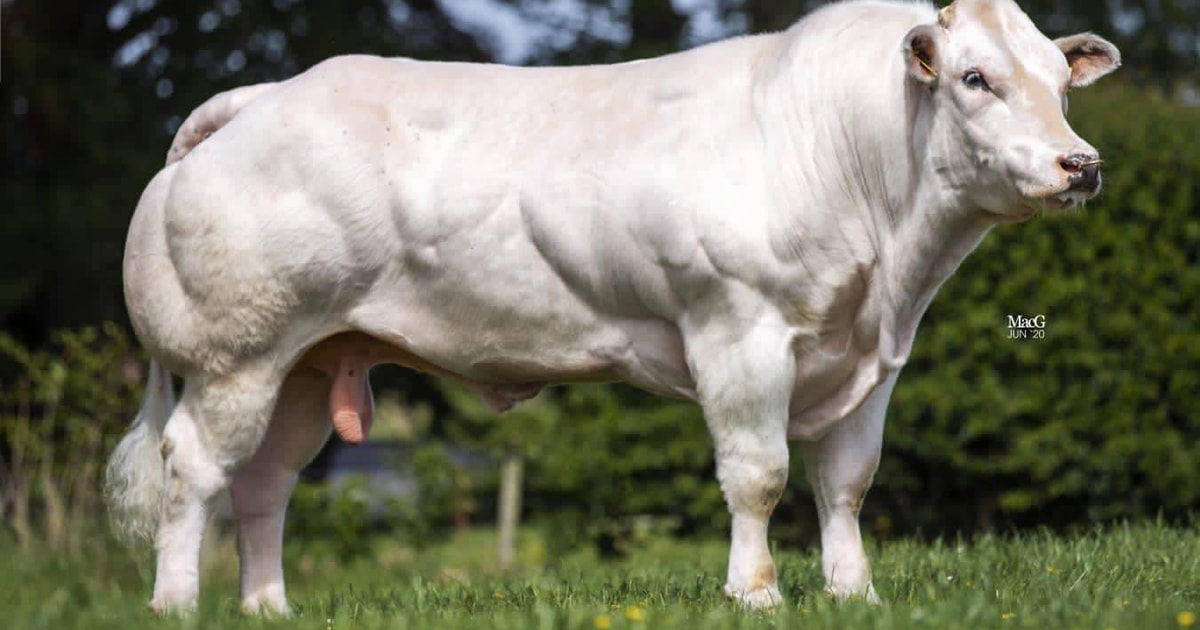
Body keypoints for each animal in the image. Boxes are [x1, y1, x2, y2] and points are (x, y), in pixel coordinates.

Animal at [105, 0, 1120, 614]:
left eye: (1058, 81)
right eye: (974, 79)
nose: (1081, 164)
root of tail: (261, 97)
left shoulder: (870, 363)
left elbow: (846, 484)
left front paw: (853, 595)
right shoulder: (739, 331)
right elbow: (759, 476)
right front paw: (756, 594)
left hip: (310, 365)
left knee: (264, 483)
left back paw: (268, 607)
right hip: (238, 355)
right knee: (194, 469)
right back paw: (176, 604)